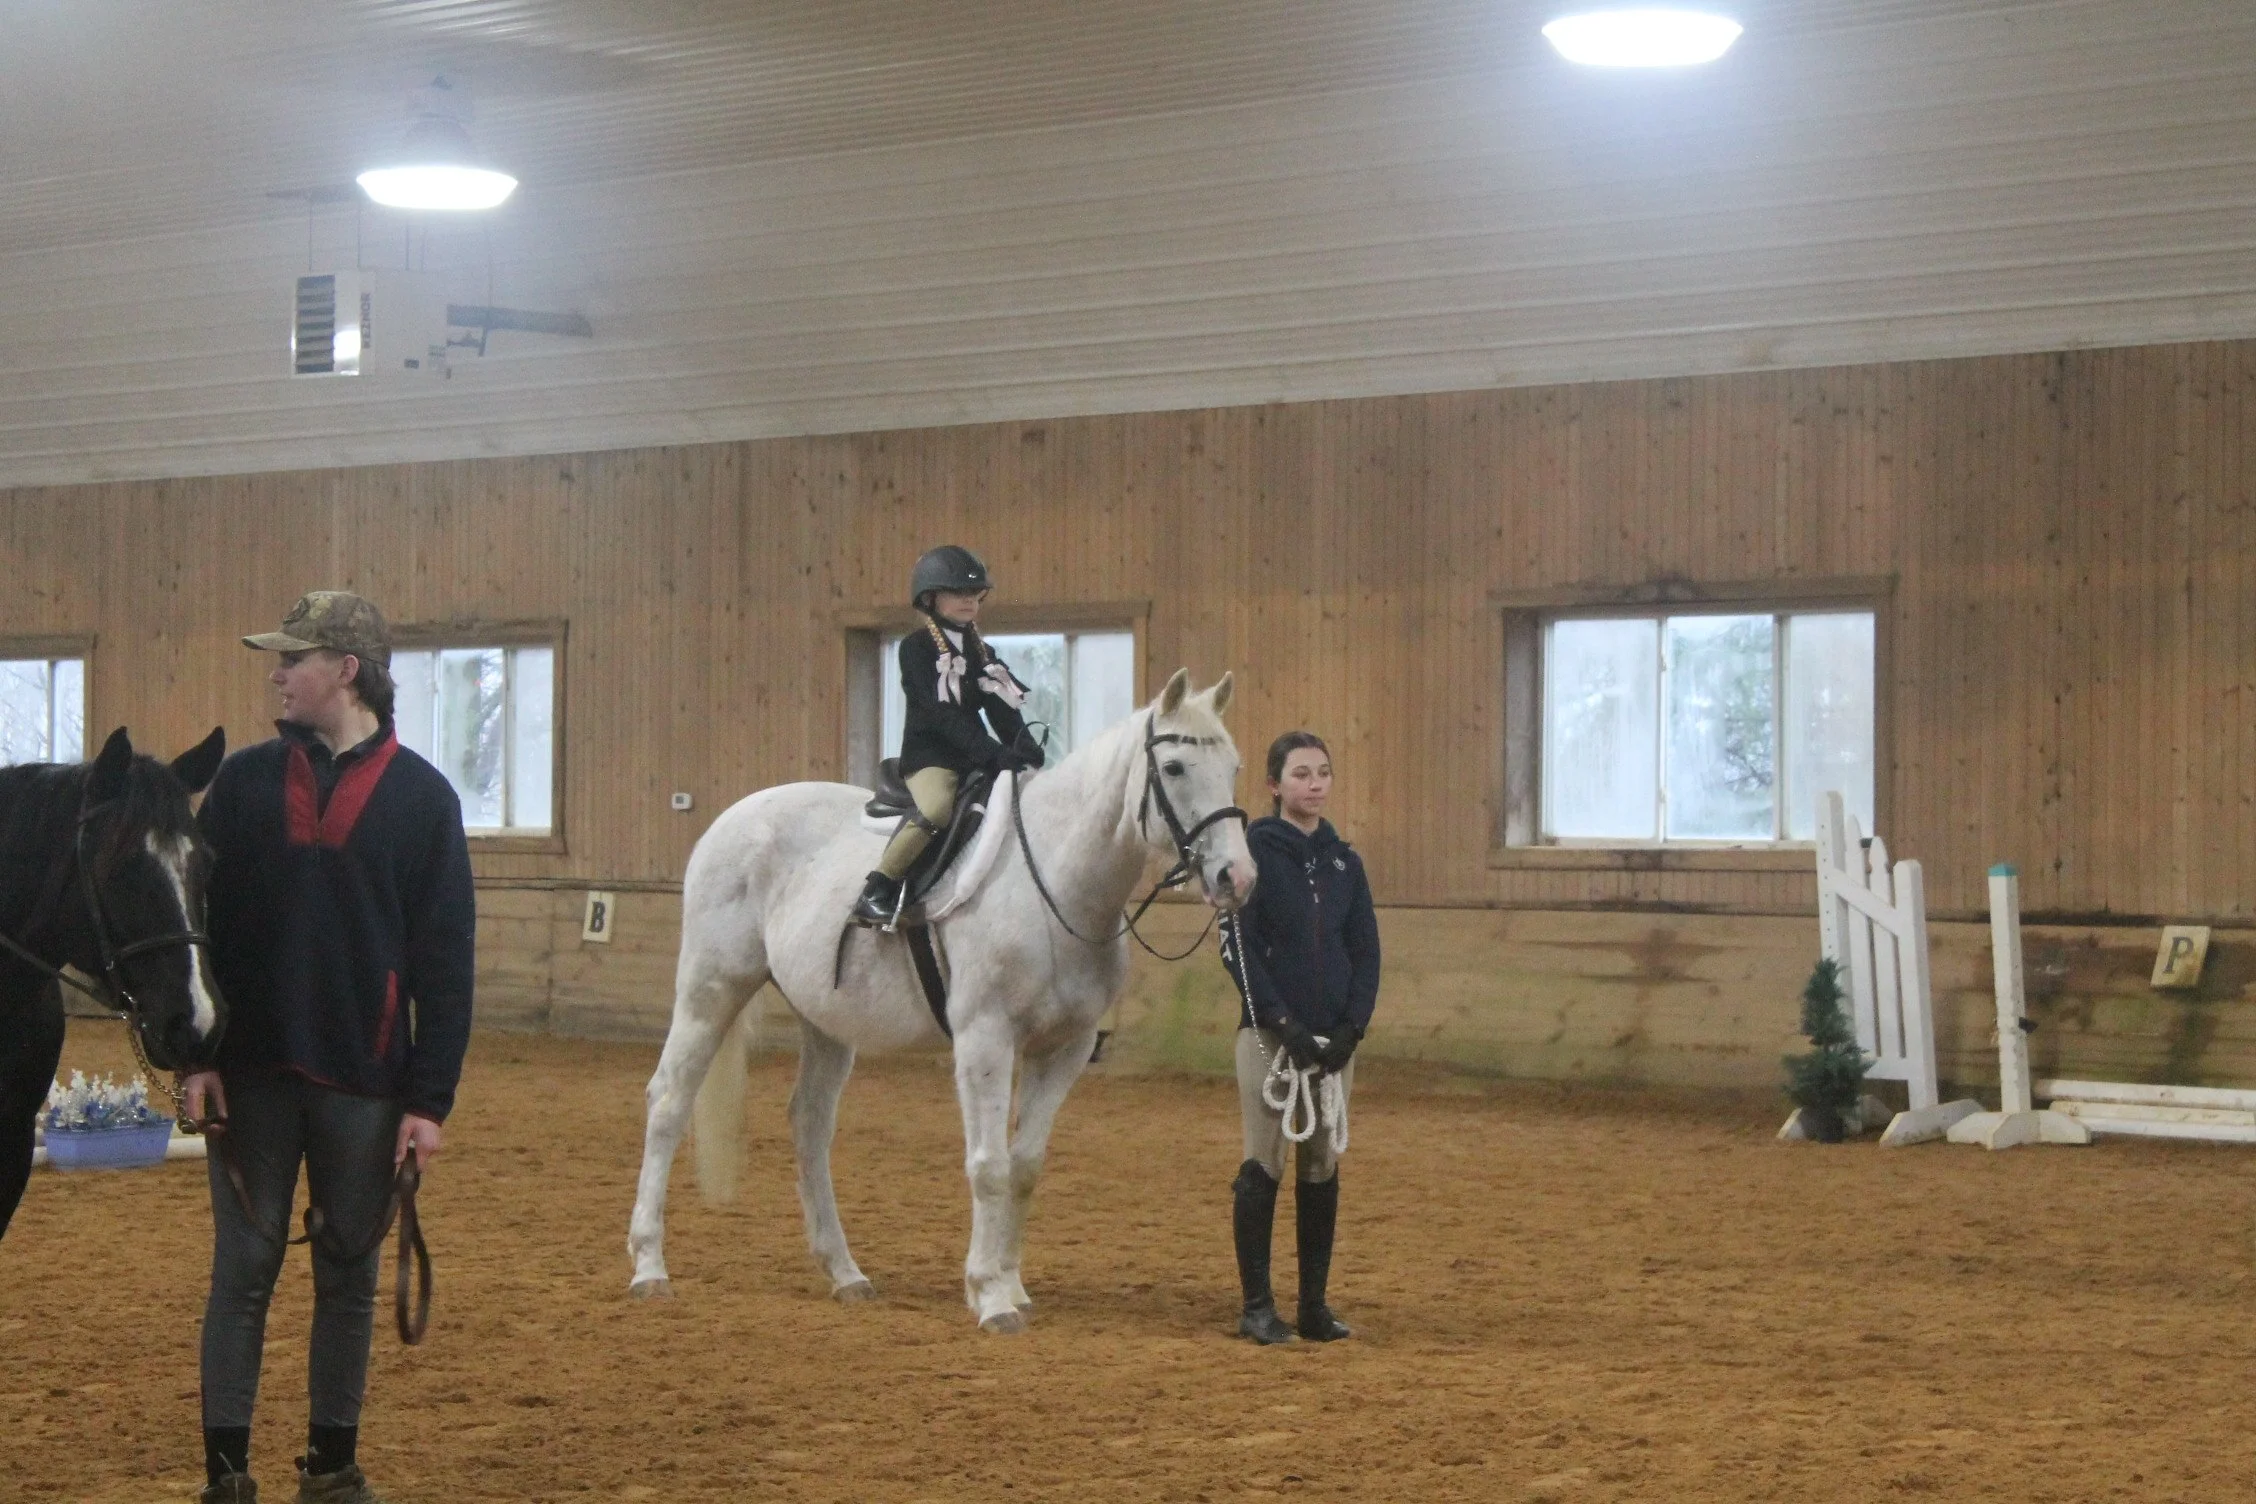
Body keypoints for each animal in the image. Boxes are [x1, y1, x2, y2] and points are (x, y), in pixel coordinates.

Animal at [628, 669, 1254, 1331]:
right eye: (1176, 767)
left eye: (1234, 767)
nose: (1236, 878)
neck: (1055, 881)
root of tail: (732, 818)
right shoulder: (986, 1037)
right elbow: (988, 1165)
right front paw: (991, 1296)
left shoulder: (1065, 1048)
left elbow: (1024, 1166)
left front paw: (1011, 1283)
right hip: (712, 988)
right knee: (668, 1101)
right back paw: (649, 1267)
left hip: (825, 1021)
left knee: (809, 1125)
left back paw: (845, 1273)